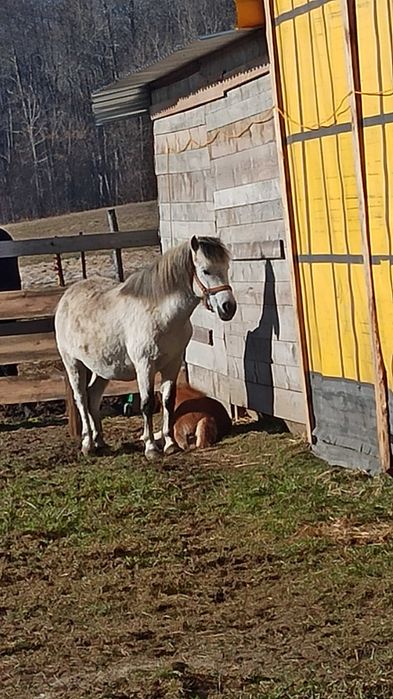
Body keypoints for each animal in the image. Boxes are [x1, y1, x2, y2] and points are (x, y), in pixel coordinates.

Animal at [54, 237, 236, 460]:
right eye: (206, 270)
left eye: (225, 268)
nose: (229, 307)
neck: (161, 315)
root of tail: (67, 296)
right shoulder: (145, 367)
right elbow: (147, 404)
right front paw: (151, 448)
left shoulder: (172, 364)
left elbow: (168, 401)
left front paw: (169, 444)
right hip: (73, 363)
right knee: (81, 398)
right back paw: (88, 444)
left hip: (102, 369)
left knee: (93, 398)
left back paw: (100, 442)